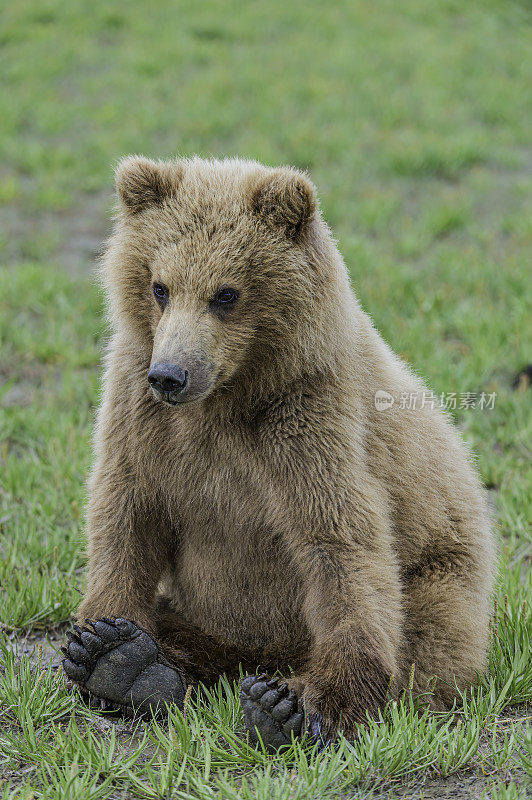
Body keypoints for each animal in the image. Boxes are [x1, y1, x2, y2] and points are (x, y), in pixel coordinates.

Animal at [62, 156, 494, 752]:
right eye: (160, 286)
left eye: (225, 293)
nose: (171, 375)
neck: (229, 395)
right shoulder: (141, 414)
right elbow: (126, 513)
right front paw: (99, 639)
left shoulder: (308, 422)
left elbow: (340, 544)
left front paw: (314, 704)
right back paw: (135, 666)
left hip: (443, 569)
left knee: (427, 637)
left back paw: (273, 699)